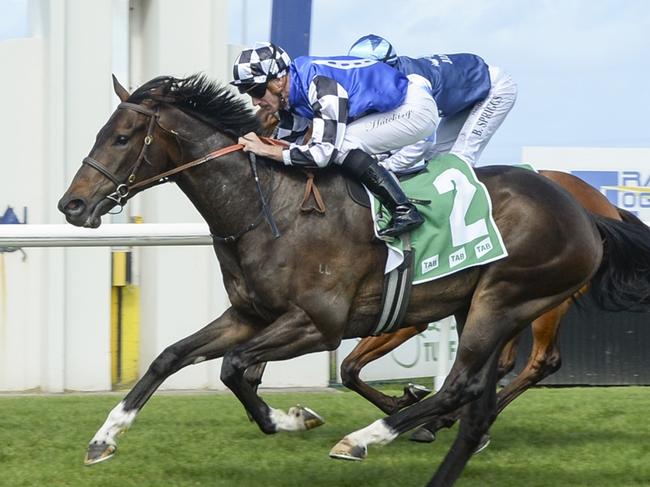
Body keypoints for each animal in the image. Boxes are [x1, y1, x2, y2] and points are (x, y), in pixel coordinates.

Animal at [58, 74, 648, 486]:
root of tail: (584, 210)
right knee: (478, 401)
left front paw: (296, 418)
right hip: (479, 304)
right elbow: (172, 357)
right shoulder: (248, 315)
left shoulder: (318, 323)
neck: (269, 206)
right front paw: (104, 438)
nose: (72, 205)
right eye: (102, 133)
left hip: (507, 299)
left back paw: (368, 437)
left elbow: (236, 368)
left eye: (123, 137)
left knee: (465, 385)